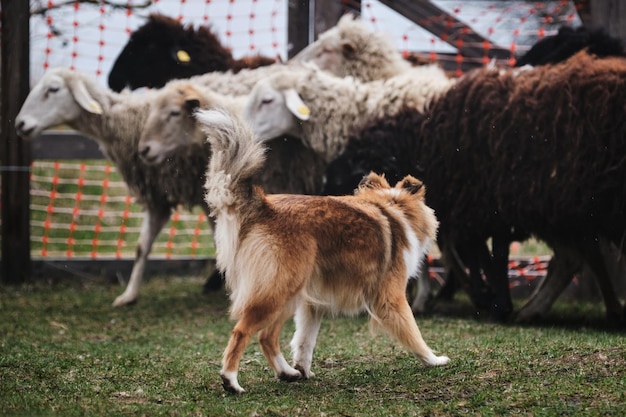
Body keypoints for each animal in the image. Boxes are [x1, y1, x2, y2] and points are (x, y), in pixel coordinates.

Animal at [197, 108, 446, 394]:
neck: (393, 208)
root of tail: (263, 206)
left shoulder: (313, 303)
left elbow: (305, 340)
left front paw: (303, 369)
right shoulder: (391, 297)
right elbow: (413, 332)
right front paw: (433, 359)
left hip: (291, 293)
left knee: (266, 337)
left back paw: (287, 373)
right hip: (279, 290)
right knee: (243, 331)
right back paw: (231, 380)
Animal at [322, 52, 624, 322]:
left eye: (344, 182)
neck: (425, 140)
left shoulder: (486, 201)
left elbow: (486, 255)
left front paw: (493, 302)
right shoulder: (480, 204)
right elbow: (473, 254)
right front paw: (489, 299)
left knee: (576, 257)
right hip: (560, 209)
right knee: (573, 258)